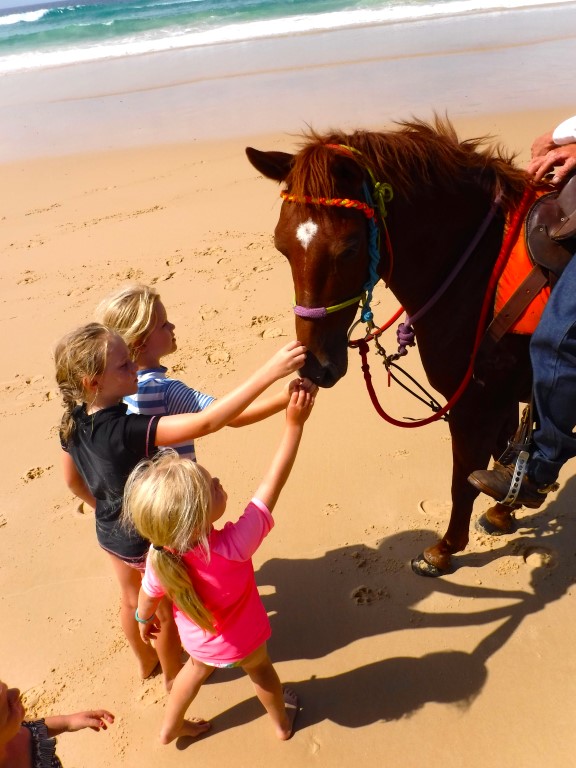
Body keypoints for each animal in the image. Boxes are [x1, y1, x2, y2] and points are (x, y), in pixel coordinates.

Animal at [246, 116, 538, 577]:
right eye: (281, 245)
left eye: (348, 249)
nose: (314, 366)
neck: (481, 274)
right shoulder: (500, 399)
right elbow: (505, 453)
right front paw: (504, 509)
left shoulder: (474, 404)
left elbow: (464, 479)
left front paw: (445, 548)